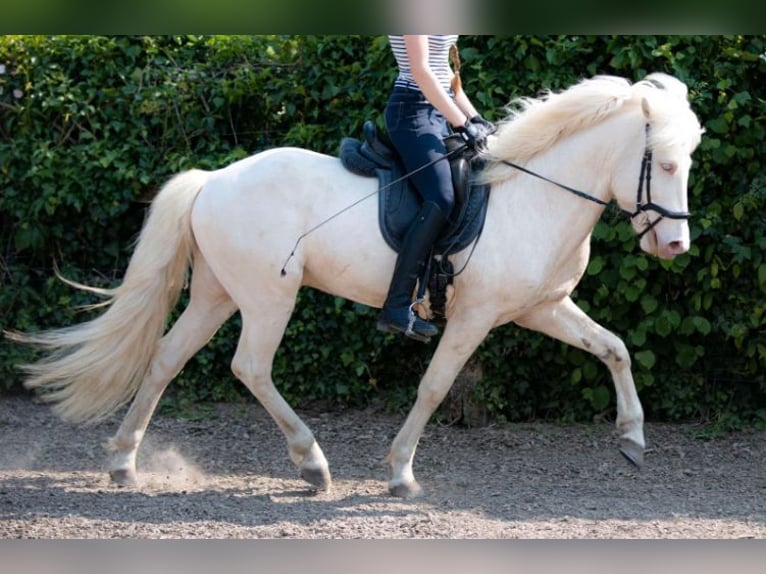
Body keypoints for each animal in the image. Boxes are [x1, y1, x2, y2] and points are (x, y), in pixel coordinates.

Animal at [12, 73, 704, 500]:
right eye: (666, 163)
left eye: (689, 163)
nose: (675, 247)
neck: (531, 194)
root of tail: (212, 180)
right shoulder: (475, 316)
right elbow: (434, 387)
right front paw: (400, 474)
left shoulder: (545, 308)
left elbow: (615, 348)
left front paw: (633, 439)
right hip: (269, 296)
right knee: (250, 367)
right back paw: (311, 464)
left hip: (216, 293)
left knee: (166, 359)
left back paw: (123, 464)